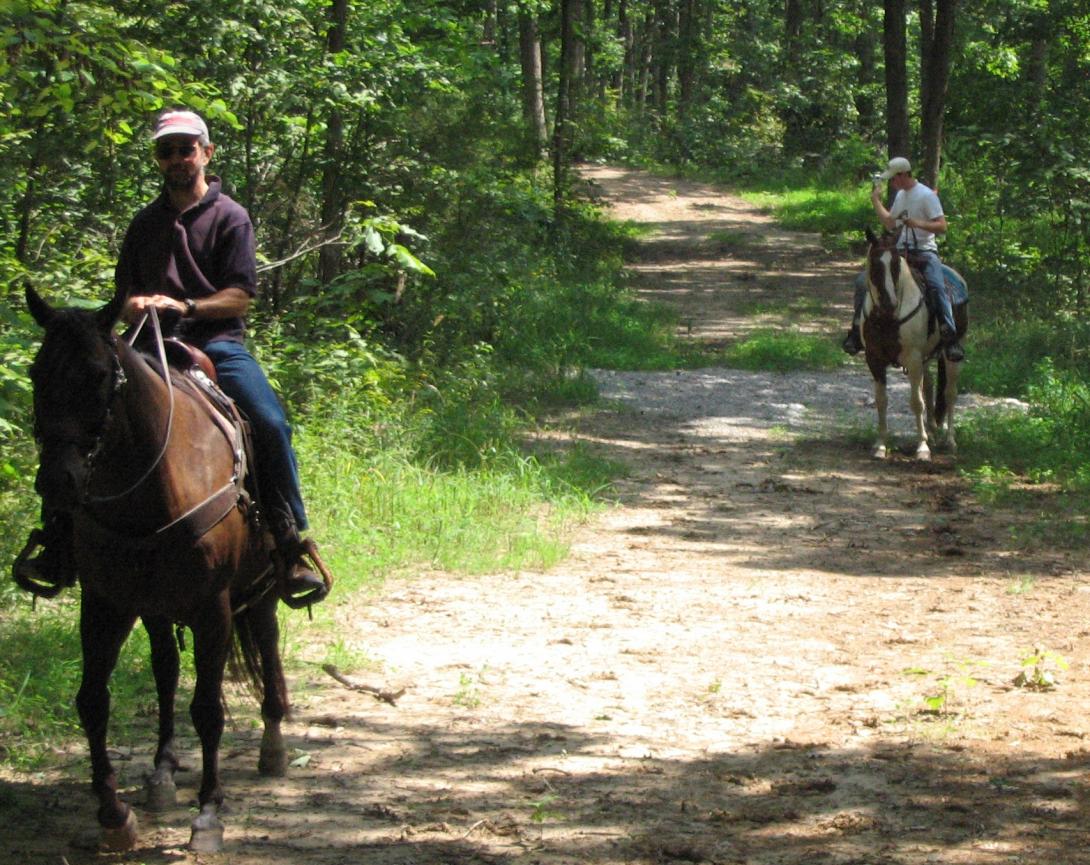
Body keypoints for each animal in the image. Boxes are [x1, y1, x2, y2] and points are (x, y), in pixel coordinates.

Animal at [28, 285, 294, 854]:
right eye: (37, 372)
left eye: (98, 376)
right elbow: (92, 702)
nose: (58, 482)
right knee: (166, 669)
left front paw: (209, 814)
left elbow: (209, 709)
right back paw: (163, 772)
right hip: (154, 605)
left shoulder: (214, 607)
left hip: (259, 589)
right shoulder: (105, 602)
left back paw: (272, 745)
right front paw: (113, 815)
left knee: (266, 641)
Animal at [863, 227, 967, 457]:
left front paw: (922, 447)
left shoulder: (912, 357)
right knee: (928, 385)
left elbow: (916, 402)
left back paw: (950, 441)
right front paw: (880, 444)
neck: (888, 319)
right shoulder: (874, 359)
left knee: (950, 393)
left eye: (896, 265)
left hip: (950, 355)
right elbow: (881, 401)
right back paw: (932, 430)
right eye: (874, 264)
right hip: (925, 357)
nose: (889, 303)